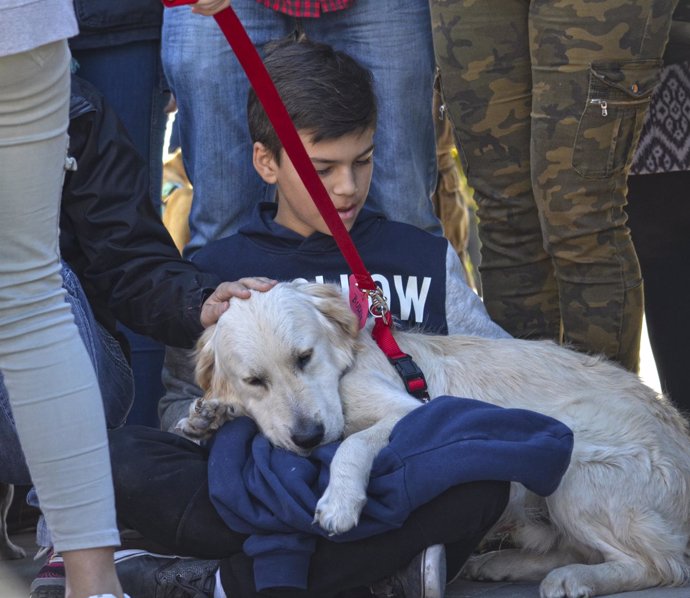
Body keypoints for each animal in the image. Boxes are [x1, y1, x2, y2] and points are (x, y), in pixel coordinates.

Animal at [181, 282, 688, 598]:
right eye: (255, 380)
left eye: (304, 357)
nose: (309, 438)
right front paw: (208, 417)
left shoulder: (412, 412)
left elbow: (353, 444)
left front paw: (340, 501)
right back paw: (504, 564)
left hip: (573, 450)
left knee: (662, 565)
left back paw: (575, 578)